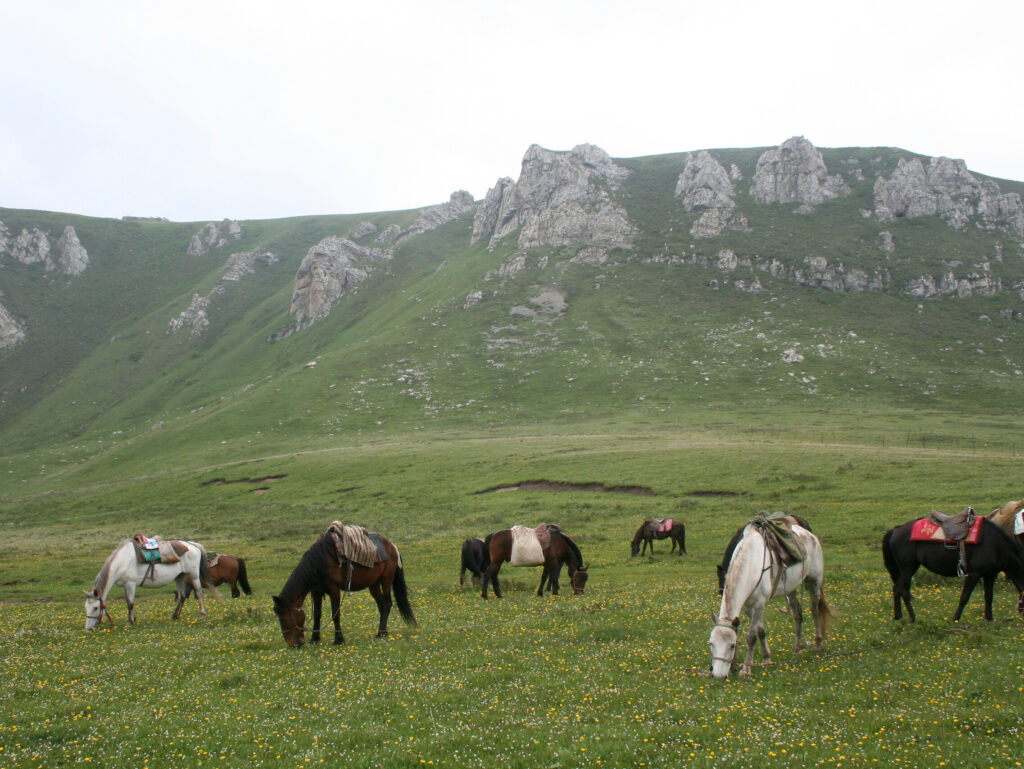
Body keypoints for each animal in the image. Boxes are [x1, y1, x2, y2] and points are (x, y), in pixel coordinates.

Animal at [84, 538, 218, 629]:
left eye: (96, 608)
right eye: (86, 607)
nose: (88, 628)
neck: (122, 562)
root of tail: (193, 545)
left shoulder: (130, 584)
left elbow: (130, 603)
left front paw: (130, 622)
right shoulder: (124, 586)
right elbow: (128, 601)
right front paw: (133, 618)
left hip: (193, 575)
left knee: (199, 592)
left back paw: (202, 613)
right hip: (179, 577)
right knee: (182, 596)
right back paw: (175, 616)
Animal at [272, 530, 416, 647]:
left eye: (282, 618)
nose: (292, 644)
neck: (319, 562)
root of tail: (392, 546)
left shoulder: (334, 590)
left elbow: (336, 614)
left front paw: (338, 640)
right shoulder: (316, 591)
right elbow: (317, 614)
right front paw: (314, 639)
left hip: (386, 581)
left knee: (387, 603)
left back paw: (380, 633)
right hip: (373, 585)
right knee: (381, 605)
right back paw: (383, 632)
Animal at [709, 520, 832, 679]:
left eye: (732, 645)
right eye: (711, 644)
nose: (718, 675)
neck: (751, 565)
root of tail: (810, 535)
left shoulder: (759, 604)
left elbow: (751, 636)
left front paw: (746, 669)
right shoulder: (748, 607)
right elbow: (760, 630)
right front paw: (766, 658)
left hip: (814, 581)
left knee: (815, 610)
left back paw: (818, 645)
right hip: (791, 588)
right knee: (797, 613)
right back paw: (798, 647)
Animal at [882, 517, 1024, 622]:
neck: (995, 545)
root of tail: (895, 530)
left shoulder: (990, 575)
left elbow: (989, 597)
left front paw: (989, 619)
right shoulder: (974, 574)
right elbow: (965, 597)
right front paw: (955, 619)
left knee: (897, 589)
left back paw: (898, 616)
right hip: (907, 568)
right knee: (902, 590)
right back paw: (912, 618)